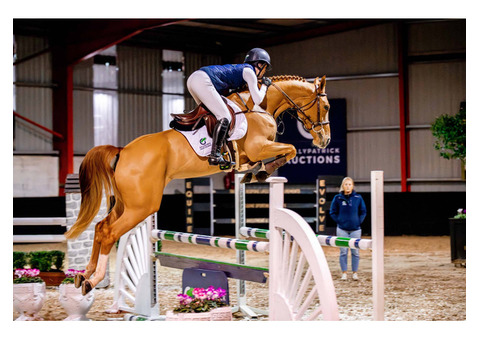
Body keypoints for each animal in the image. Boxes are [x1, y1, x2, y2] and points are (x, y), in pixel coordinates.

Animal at [63, 75, 330, 294]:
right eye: (326, 107)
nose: (324, 140)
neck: (260, 106)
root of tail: (122, 151)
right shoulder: (259, 147)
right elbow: (290, 149)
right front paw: (263, 172)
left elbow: (279, 153)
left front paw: (253, 174)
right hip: (142, 206)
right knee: (110, 233)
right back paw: (93, 279)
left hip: (125, 204)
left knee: (101, 228)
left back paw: (84, 274)